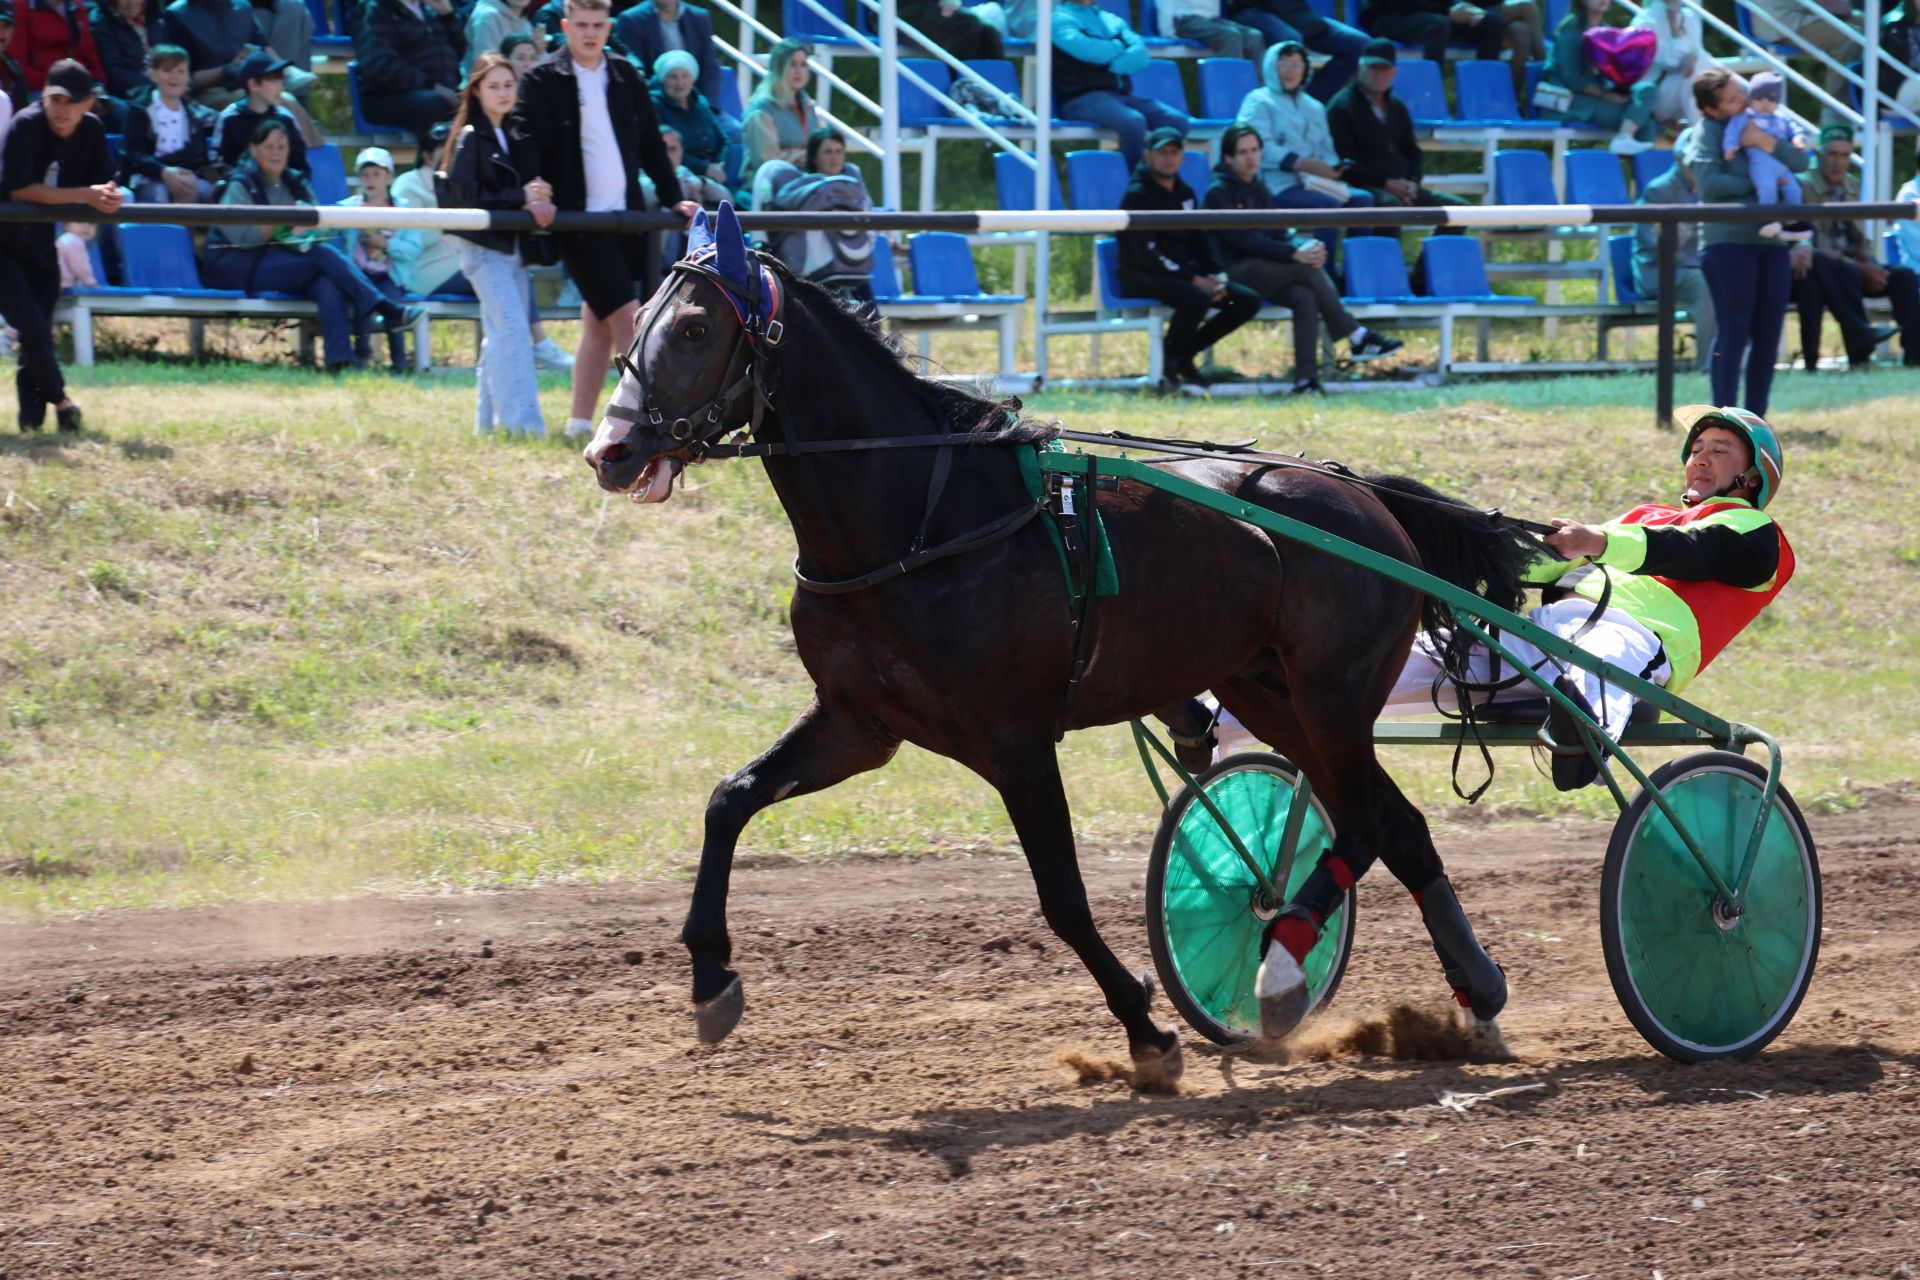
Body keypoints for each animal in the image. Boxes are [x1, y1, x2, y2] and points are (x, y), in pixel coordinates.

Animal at [576, 205, 1536, 1090]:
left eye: (695, 328)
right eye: (639, 322)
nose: (609, 449)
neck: (918, 524)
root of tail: (1361, 493)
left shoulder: (1017, 742)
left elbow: (1063, 899)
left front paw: (1148, 1032)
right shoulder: (857, 724)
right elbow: (727, 800)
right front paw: (710, 979)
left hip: (1333, 693)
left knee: (1367, 819)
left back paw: (1280, 967)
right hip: (1267, 690)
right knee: (1395, 824)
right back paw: (1469, 991)